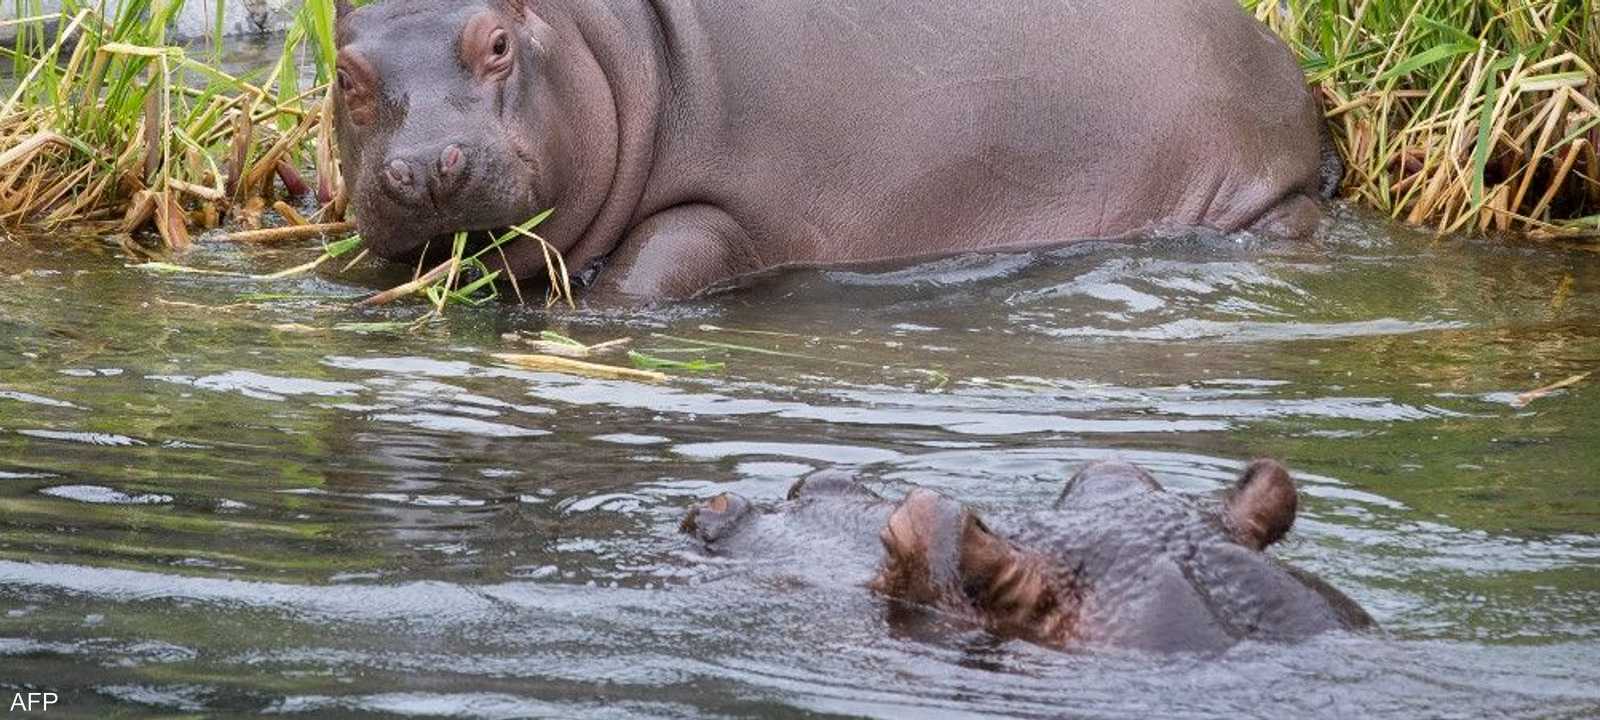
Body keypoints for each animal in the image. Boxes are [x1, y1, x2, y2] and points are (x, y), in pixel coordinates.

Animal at [331, 0, 1331, 300]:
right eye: (345, 72)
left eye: (497, 41)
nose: (426, 164)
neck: (598, 39)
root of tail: (1277, 48)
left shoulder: (725, 217)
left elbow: (644, 277)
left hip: (1259, 197)